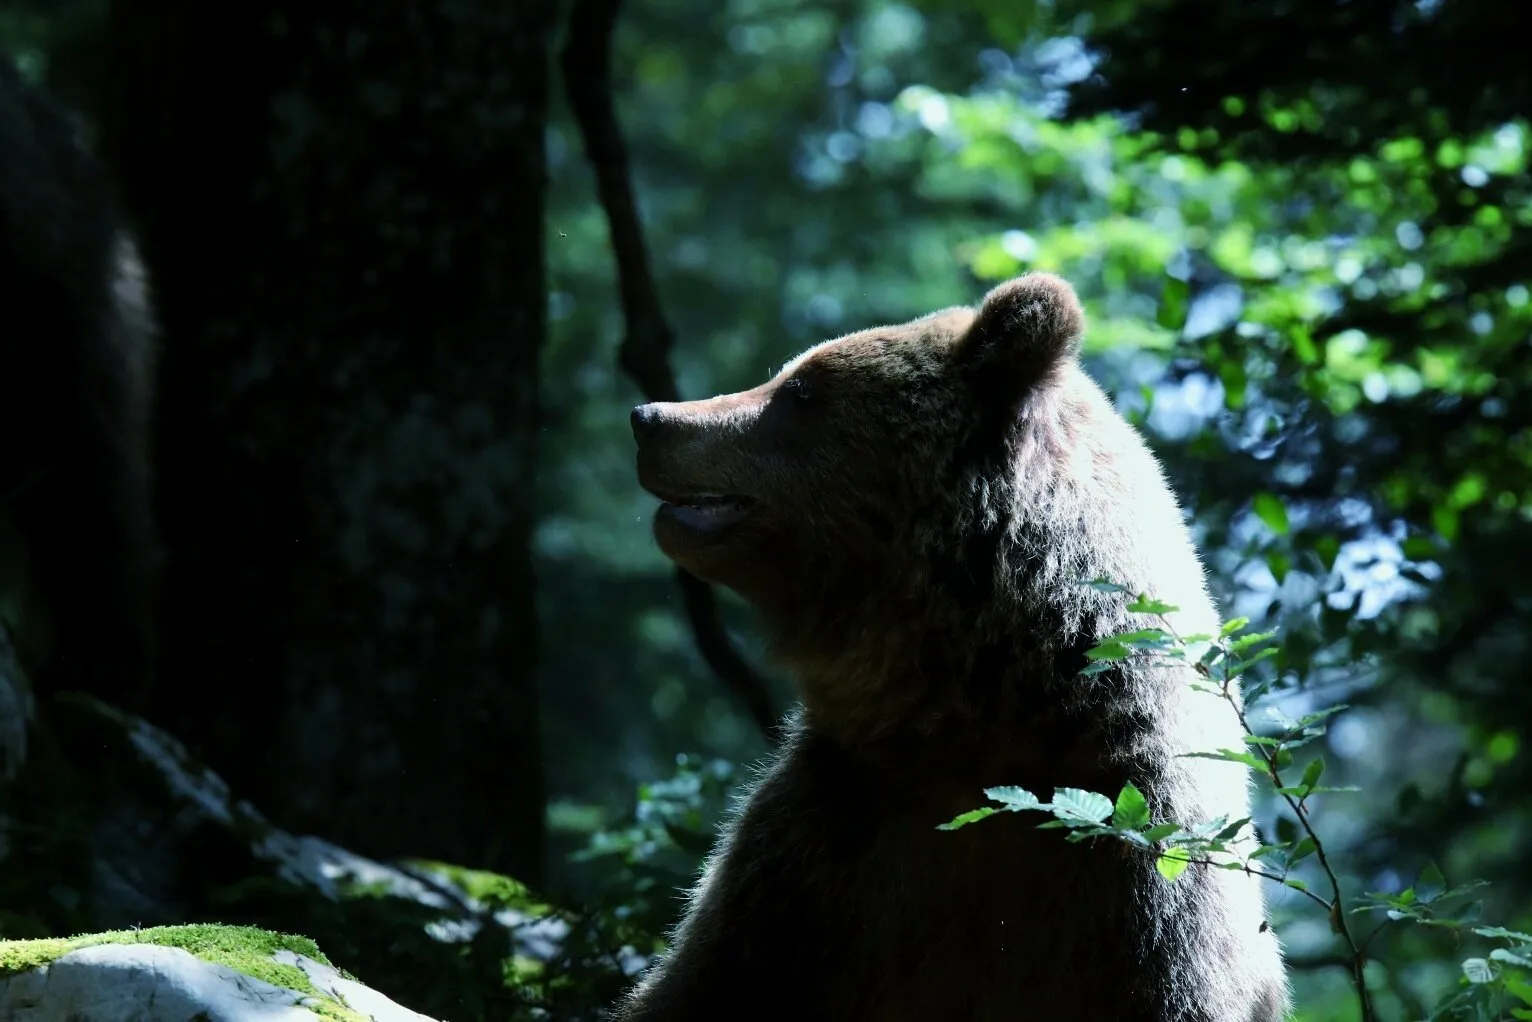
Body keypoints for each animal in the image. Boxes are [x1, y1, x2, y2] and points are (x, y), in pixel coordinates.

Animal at [621, 272, 1290, 1021]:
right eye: (788, 375)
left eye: (802, 390)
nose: (650, 416)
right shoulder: (816, 852)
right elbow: (703, 982)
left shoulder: (1142, 886)